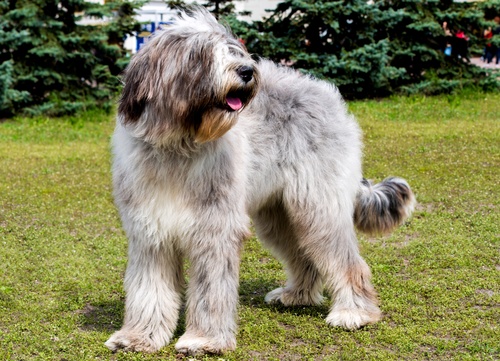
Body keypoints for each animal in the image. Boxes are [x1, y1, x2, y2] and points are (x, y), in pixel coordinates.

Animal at [106, 7, 418, 354]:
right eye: (201, 55)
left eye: (233, 49)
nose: (246, 71)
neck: (178, 144)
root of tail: (327, 95)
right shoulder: (150, 233)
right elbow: (149, 289)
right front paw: (138, 336)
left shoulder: (214, 230)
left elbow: (210, 291)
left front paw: (204, 339)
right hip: (278, 214)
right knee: (304, 256)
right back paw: (297, 295)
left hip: (317, 207)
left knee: (347, 261)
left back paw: (354, 312)